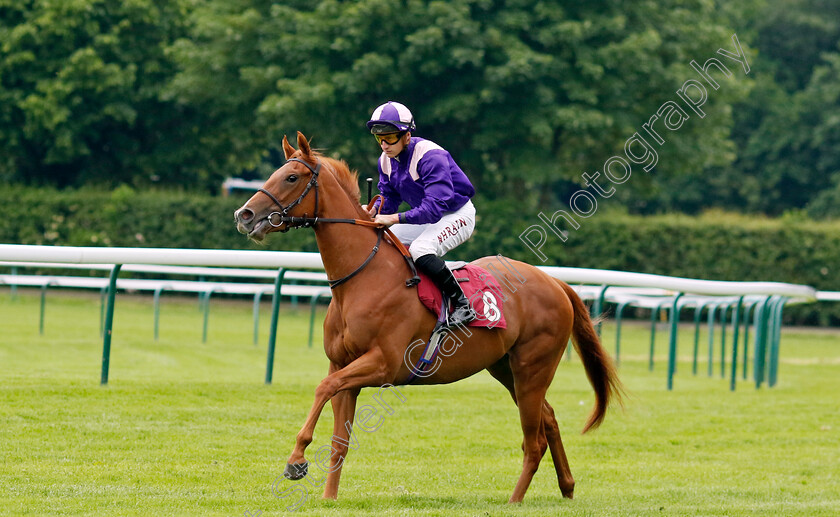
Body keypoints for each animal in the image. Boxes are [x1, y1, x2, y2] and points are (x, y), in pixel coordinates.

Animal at [233, 131, 620, 502]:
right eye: (274, 173)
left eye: (291, 177)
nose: (244, 216)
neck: (363, 278)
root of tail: (555, 282)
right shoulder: (342, 365)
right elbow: (339, 437)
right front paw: (328, 497)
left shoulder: (383, 364)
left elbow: (322, 388)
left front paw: (296, 460)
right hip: (506, 369)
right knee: (549, 419)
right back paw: (567, 487)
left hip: (532, 369)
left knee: (534, 441)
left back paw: (515, 500)